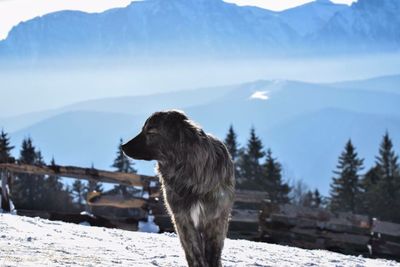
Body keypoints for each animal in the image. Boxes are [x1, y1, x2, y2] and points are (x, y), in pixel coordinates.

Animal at [122, 110, 234, 267]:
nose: (123, 146)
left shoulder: (216, 218)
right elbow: (193, 251)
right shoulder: (182, 217)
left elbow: (213, 252)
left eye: (151, 131)